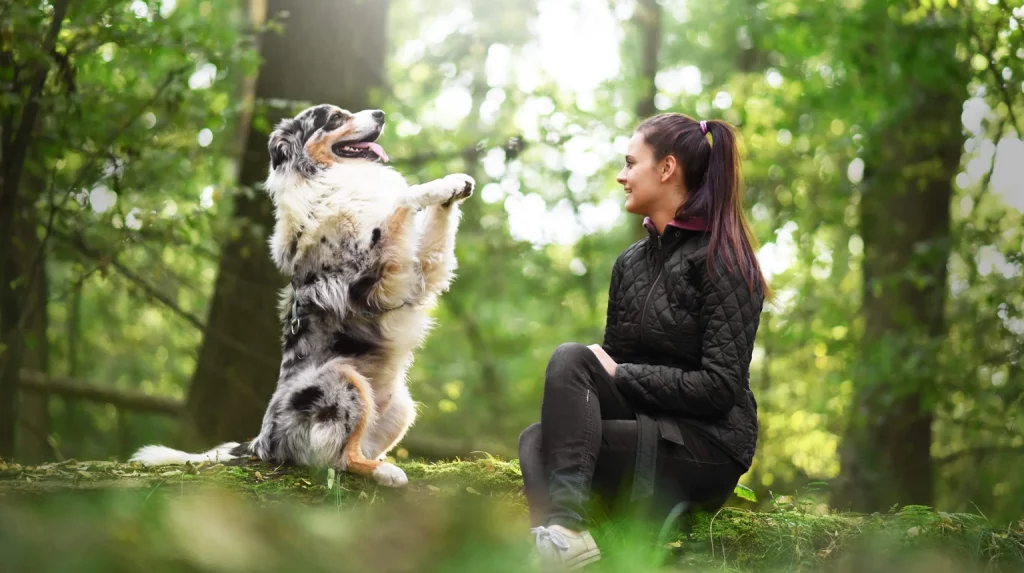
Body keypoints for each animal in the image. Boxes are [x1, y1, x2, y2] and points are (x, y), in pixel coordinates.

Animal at [129, 103, 475, 487]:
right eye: (336, 117)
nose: (381, 114)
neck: (329, 178)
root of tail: (261, 442)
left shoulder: (419, 277)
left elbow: (433, 237)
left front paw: (455, 185)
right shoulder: (378, 273)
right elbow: (403, 197)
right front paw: (434, 186)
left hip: (400, 406)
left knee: (350, 449)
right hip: (339, 382)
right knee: (338, 459)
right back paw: (387, 473)